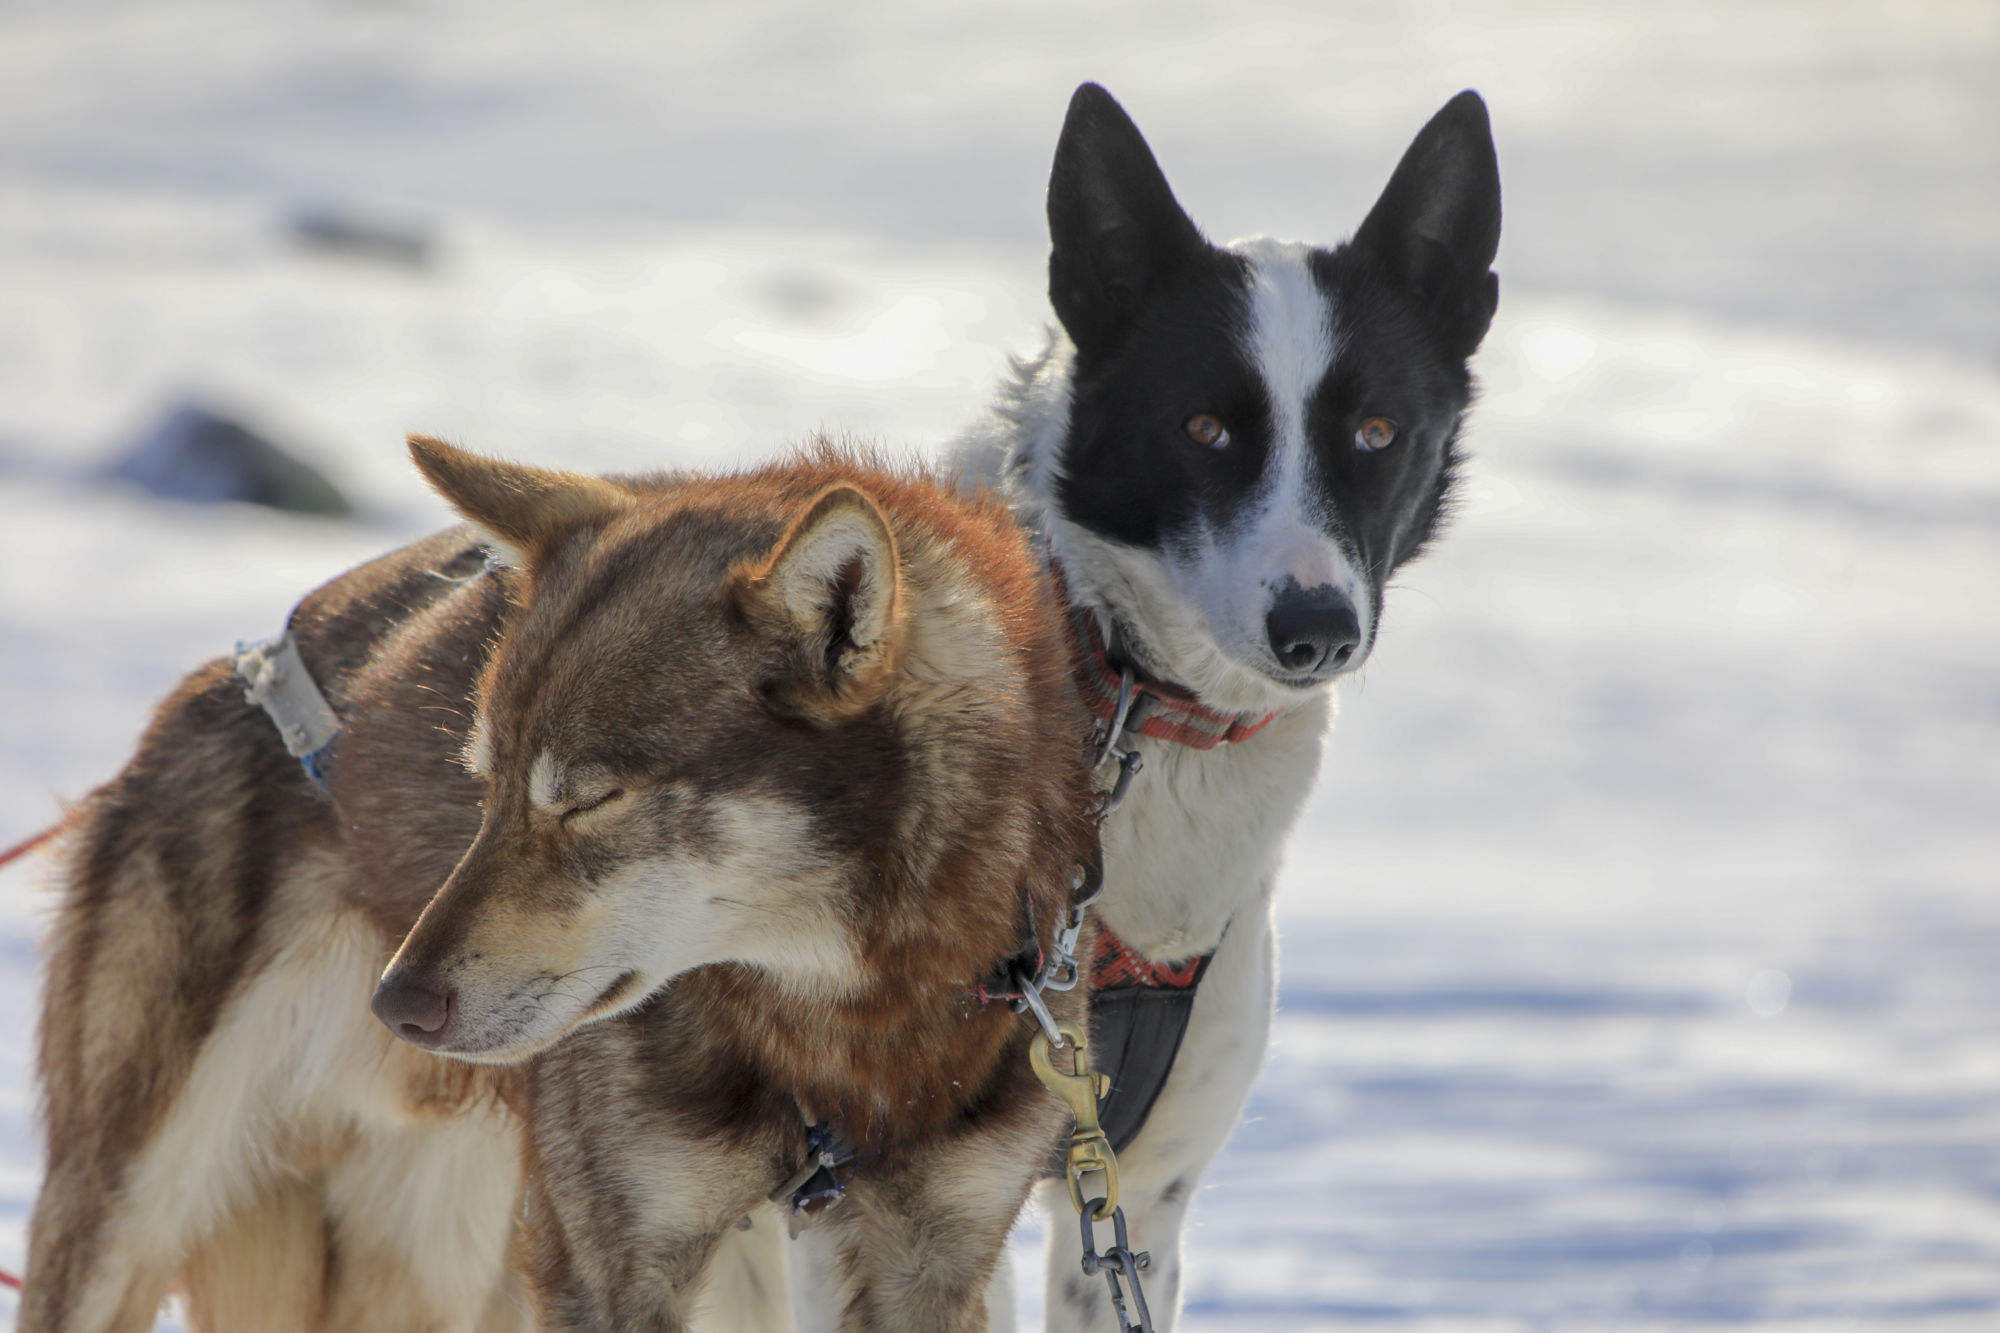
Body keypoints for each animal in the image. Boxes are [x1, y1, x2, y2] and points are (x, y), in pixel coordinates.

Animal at [27, 438, 1096, 1328]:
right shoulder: (613, 1265)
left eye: (585, 799)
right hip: (126, 1215)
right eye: (485, 783)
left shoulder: (931, 1259)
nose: (397, 1001)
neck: (842, 1032)